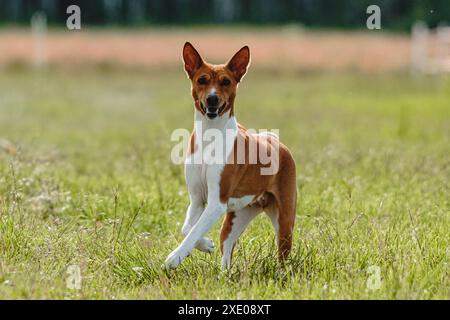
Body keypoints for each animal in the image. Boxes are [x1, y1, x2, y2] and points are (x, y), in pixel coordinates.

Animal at [163, 41, 298, 268]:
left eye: (226, 81)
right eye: (202, 80)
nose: (212, 99)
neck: (209, 135)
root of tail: (278, 142)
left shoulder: (217, 202)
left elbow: (194, 231)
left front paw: (175, 257)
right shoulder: (197, 199)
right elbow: (188, 229)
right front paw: (205, 245)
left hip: (285, 222)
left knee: (283, 256)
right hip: (236, 219)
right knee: (226, 253)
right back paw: (224, 272)